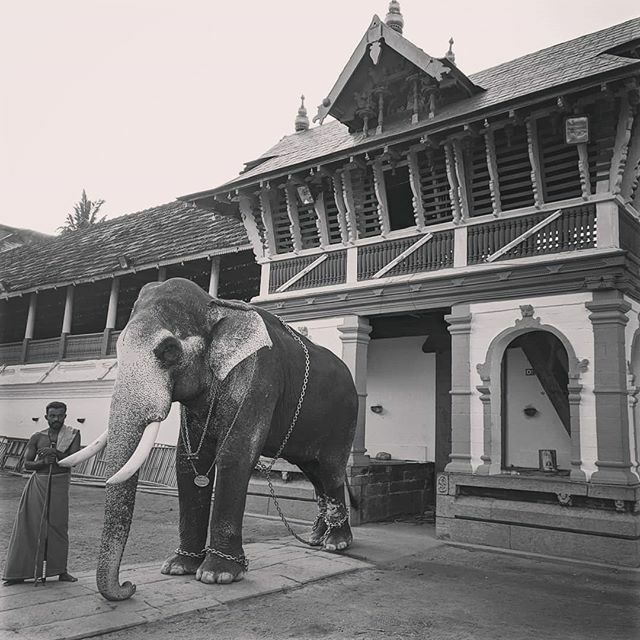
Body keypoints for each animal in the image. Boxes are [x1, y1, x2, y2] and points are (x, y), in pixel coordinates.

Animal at [60, 278, 358, 600]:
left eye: (168, 351)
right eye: (117, 347)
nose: (129, 586)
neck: (215, 305)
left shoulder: (259, 376)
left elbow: (234, 455)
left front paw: (218, 575)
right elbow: (187, 462)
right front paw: (178, 568)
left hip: (343, 419)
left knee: (331, 471)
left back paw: (336, 544)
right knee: (315, 473)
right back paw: (316, 538)